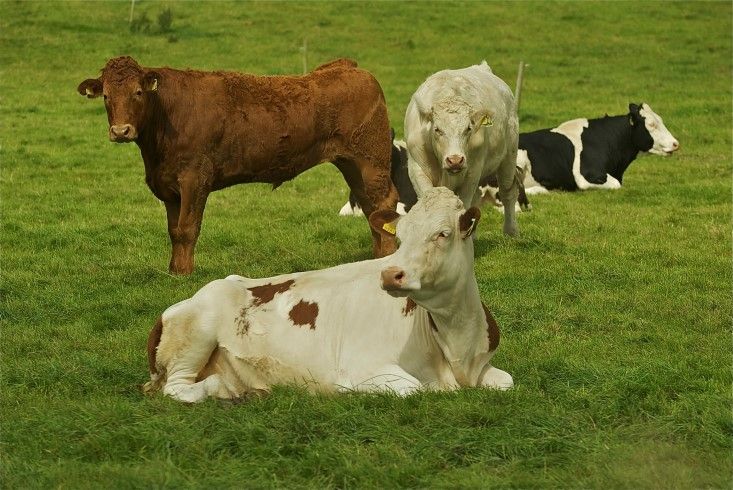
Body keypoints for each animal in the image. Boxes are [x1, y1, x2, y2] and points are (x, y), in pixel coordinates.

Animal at [77, 56, 398, 275]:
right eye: (106, 95)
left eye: (138, 93)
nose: (121, 131)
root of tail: (346, 67)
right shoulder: (168, 186)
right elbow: (173, 230)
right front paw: (173, 270)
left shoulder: (195, 178)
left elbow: (187, 228)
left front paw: (184, 274)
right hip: (352, 165)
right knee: (370, 208)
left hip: (371, 161)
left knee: (383, 204)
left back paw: (386, 258)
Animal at [144, 187, 513, 402]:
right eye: (401, 236)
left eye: (443, 233)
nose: (391, 273)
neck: (455, 347)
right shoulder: (365, 367)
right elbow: (413, 388)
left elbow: (507, 381)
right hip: (194, 336)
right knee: (177, 389)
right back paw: (226, 390)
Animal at [404, 61, 520, 236]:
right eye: (437, 129)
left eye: (468, 129)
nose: (455, 160)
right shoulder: (417, 169)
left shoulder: (473, 171)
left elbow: (464, 205)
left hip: (509, 157)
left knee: (508, 192)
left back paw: (510, 231)